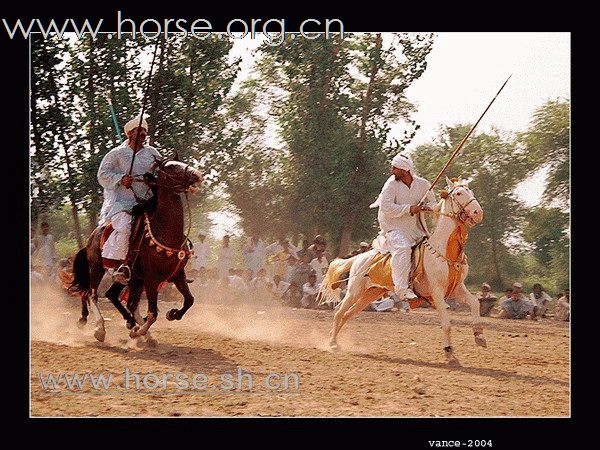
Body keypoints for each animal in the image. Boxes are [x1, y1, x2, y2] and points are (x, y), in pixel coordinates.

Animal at [69, 158, 203, 344]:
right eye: (172, 167)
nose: (197, 175)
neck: (165, 232)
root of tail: (92, 237)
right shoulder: (151, 278)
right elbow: (152, 313)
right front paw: (139, 331)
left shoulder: (177, 275)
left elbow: (189, 300)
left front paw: (172, 314)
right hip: (97, 268)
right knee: (92, 294)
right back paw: (101, 329)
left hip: (133, 279)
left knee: (115, 297)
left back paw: (134, 326)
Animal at [318, 178, 488, 364]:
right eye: (458, 193)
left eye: (470, 191)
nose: (478, 213)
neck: (445, 251)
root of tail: (358, 258)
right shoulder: (437, 291)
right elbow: (446, 323)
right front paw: (449, 352)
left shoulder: (457, 288)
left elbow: (475, 303)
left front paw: (479, 336)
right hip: (355, 291)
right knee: (339, 312)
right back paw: (333, 344)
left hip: (370, 294)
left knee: (347, 314)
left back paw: (335, 341)